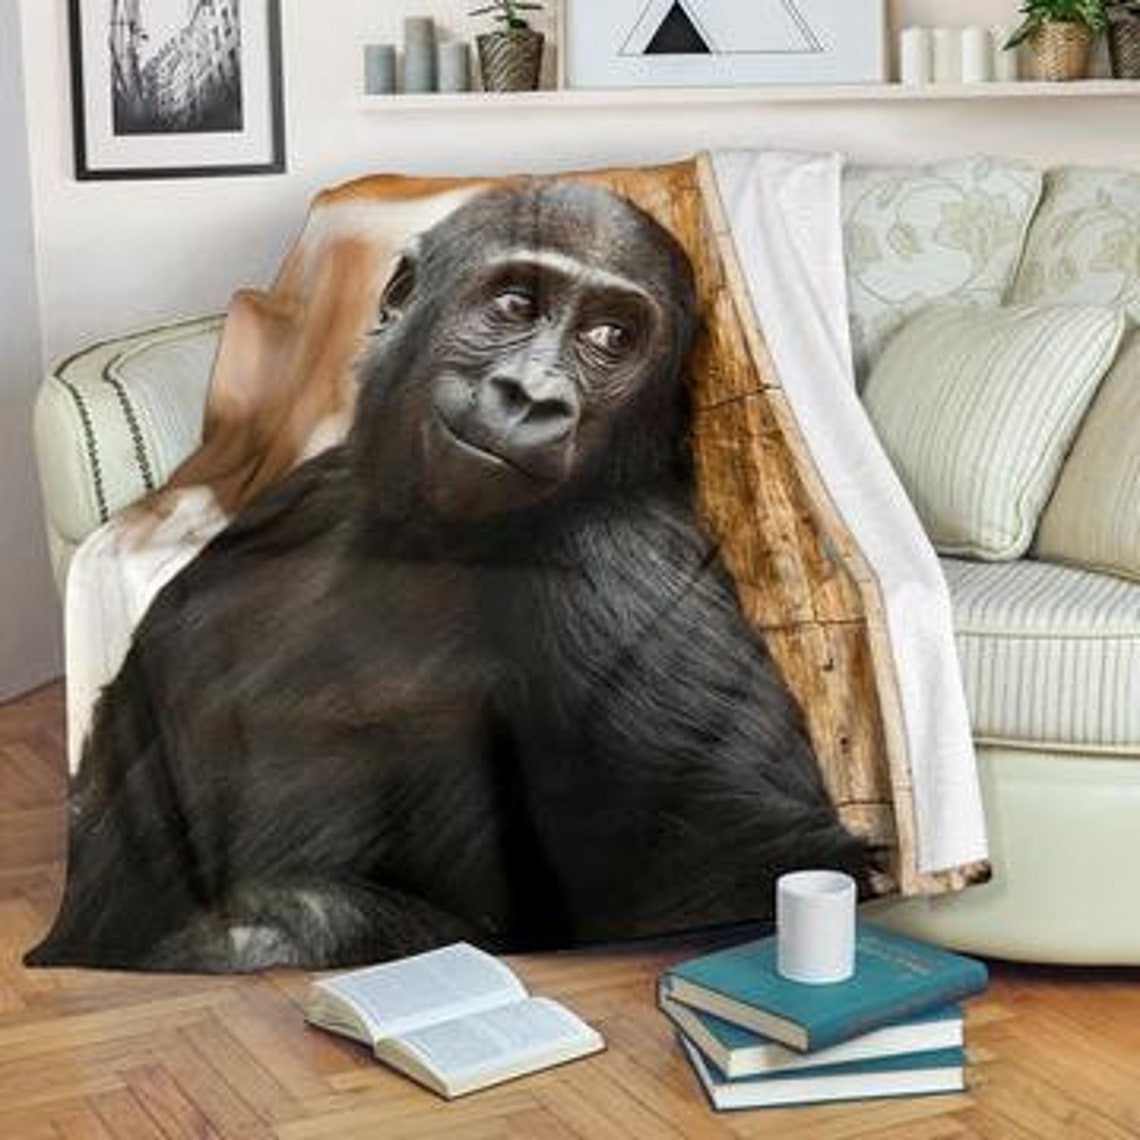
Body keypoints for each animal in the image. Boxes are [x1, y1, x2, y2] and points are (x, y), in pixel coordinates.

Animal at [27, 181, 870, 973]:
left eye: (609, 337)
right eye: (516, 303)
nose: (534, 397)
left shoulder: (618, 571)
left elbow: (751, 868)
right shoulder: (296, 496)